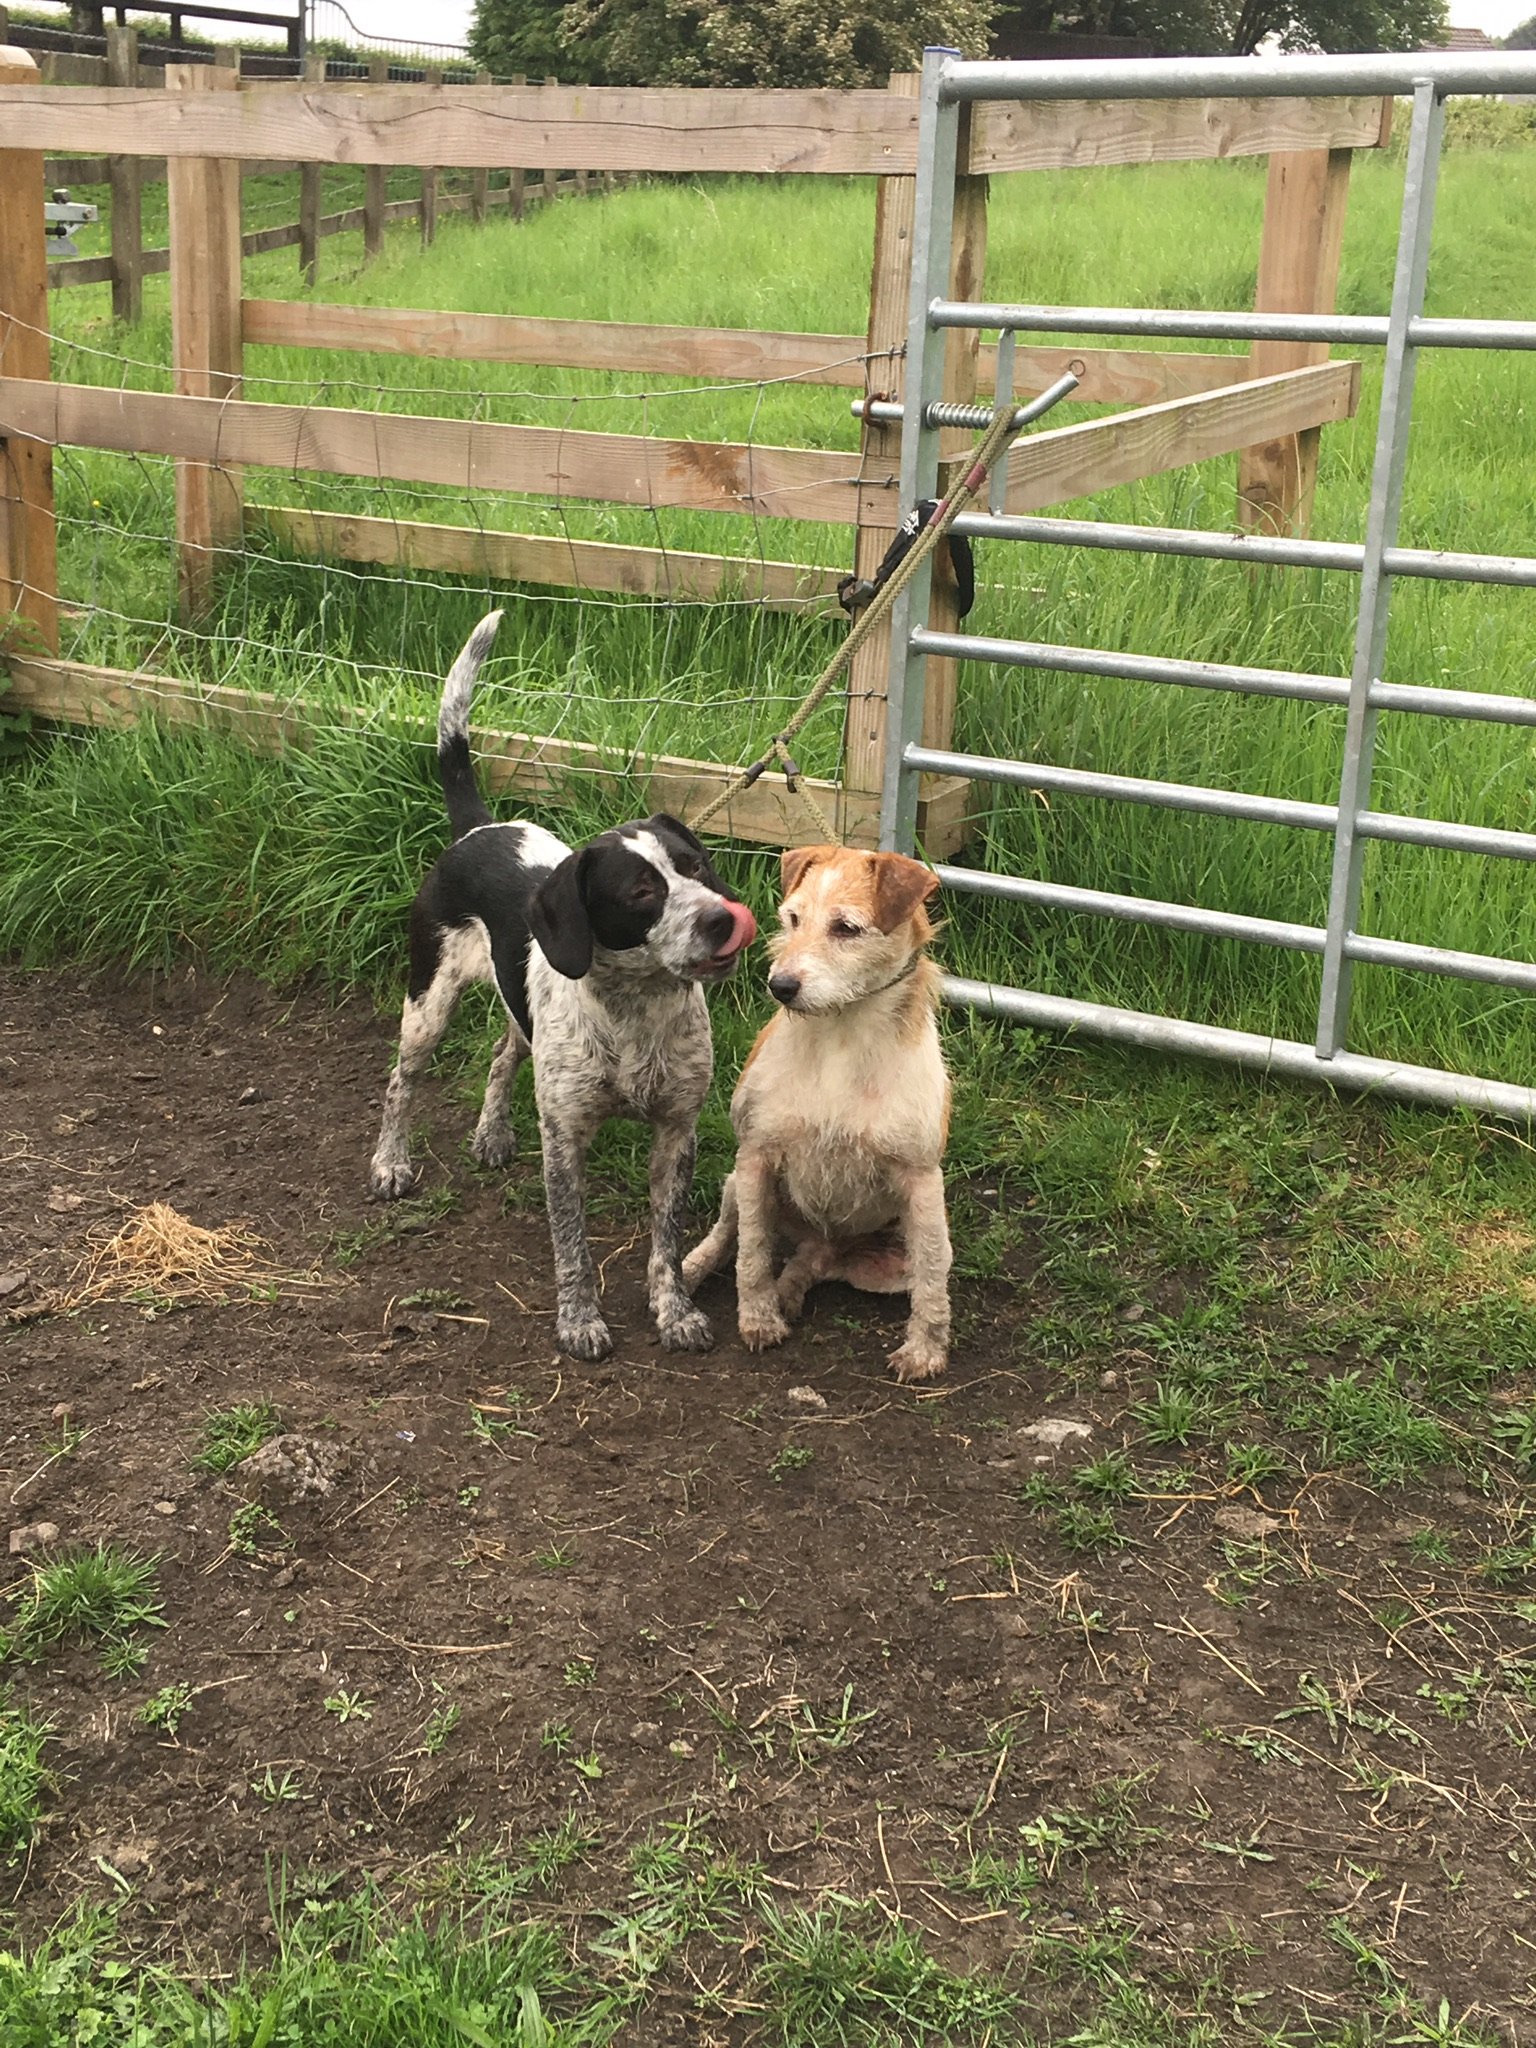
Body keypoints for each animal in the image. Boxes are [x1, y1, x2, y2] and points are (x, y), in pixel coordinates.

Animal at [372, 606, 757, 1359]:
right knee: (401, 1082)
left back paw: (491, 1133)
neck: (636, 1009)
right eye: (640, 892)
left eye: (696, 866)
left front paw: (673, 1312)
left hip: (520, 1017)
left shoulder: (677, 1130)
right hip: (428, 1003)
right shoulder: (565, 1137)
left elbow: (667, 1241)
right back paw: (390, 1162)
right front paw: (579, 1320)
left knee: (501, 1055)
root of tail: (480, 827)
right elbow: (571, 1242)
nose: (723, 919)